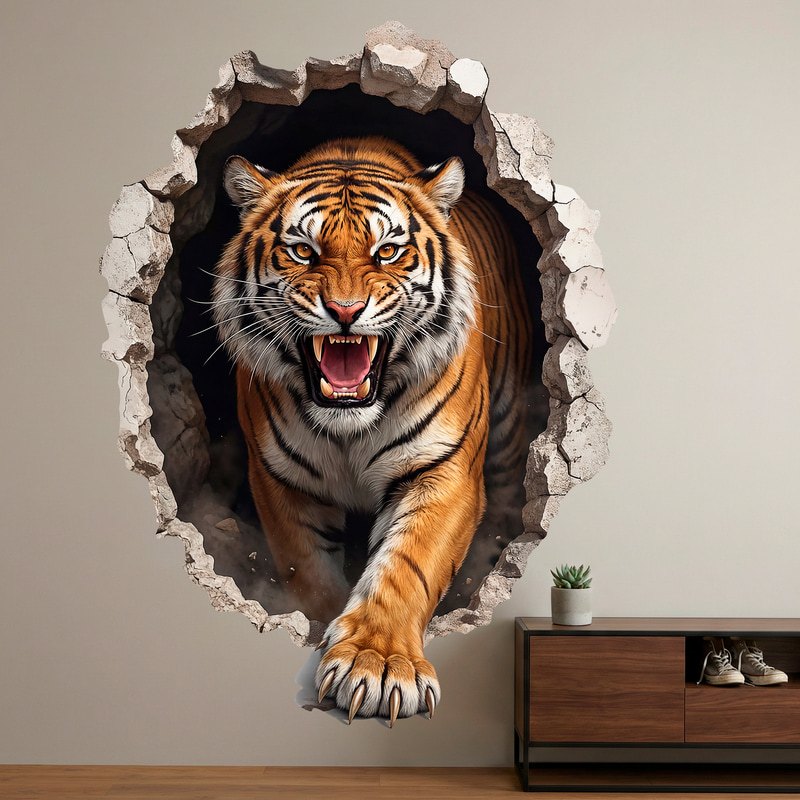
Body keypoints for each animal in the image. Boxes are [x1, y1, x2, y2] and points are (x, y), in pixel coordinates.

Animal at [211, 135, 532, 724]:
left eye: (387, 252)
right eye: (303, 251)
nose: (345, 310)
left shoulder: (444, 472)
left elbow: (406, 567)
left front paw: (376, 665)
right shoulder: (281, 483)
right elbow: (310, 573)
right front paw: (323, 635)